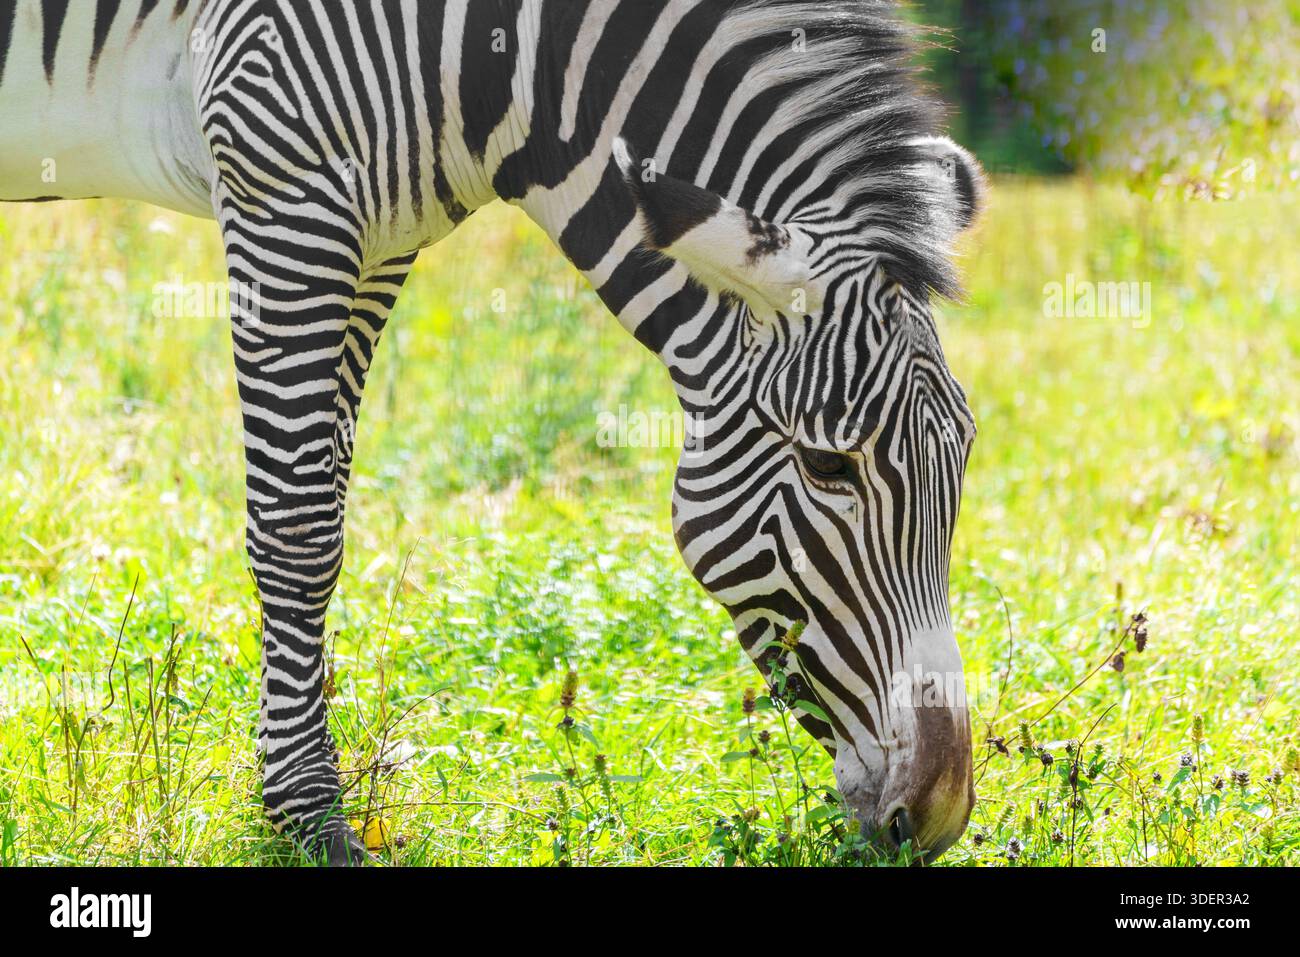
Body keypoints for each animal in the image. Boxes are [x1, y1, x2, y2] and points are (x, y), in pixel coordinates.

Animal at [0, 0, 984, 865]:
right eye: (827, 462)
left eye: (966, 455)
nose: (938, 812)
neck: (501, 56)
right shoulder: (285, 182)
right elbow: (297, 527)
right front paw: (309, 814)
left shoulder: (381, 231)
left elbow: (330, 501)